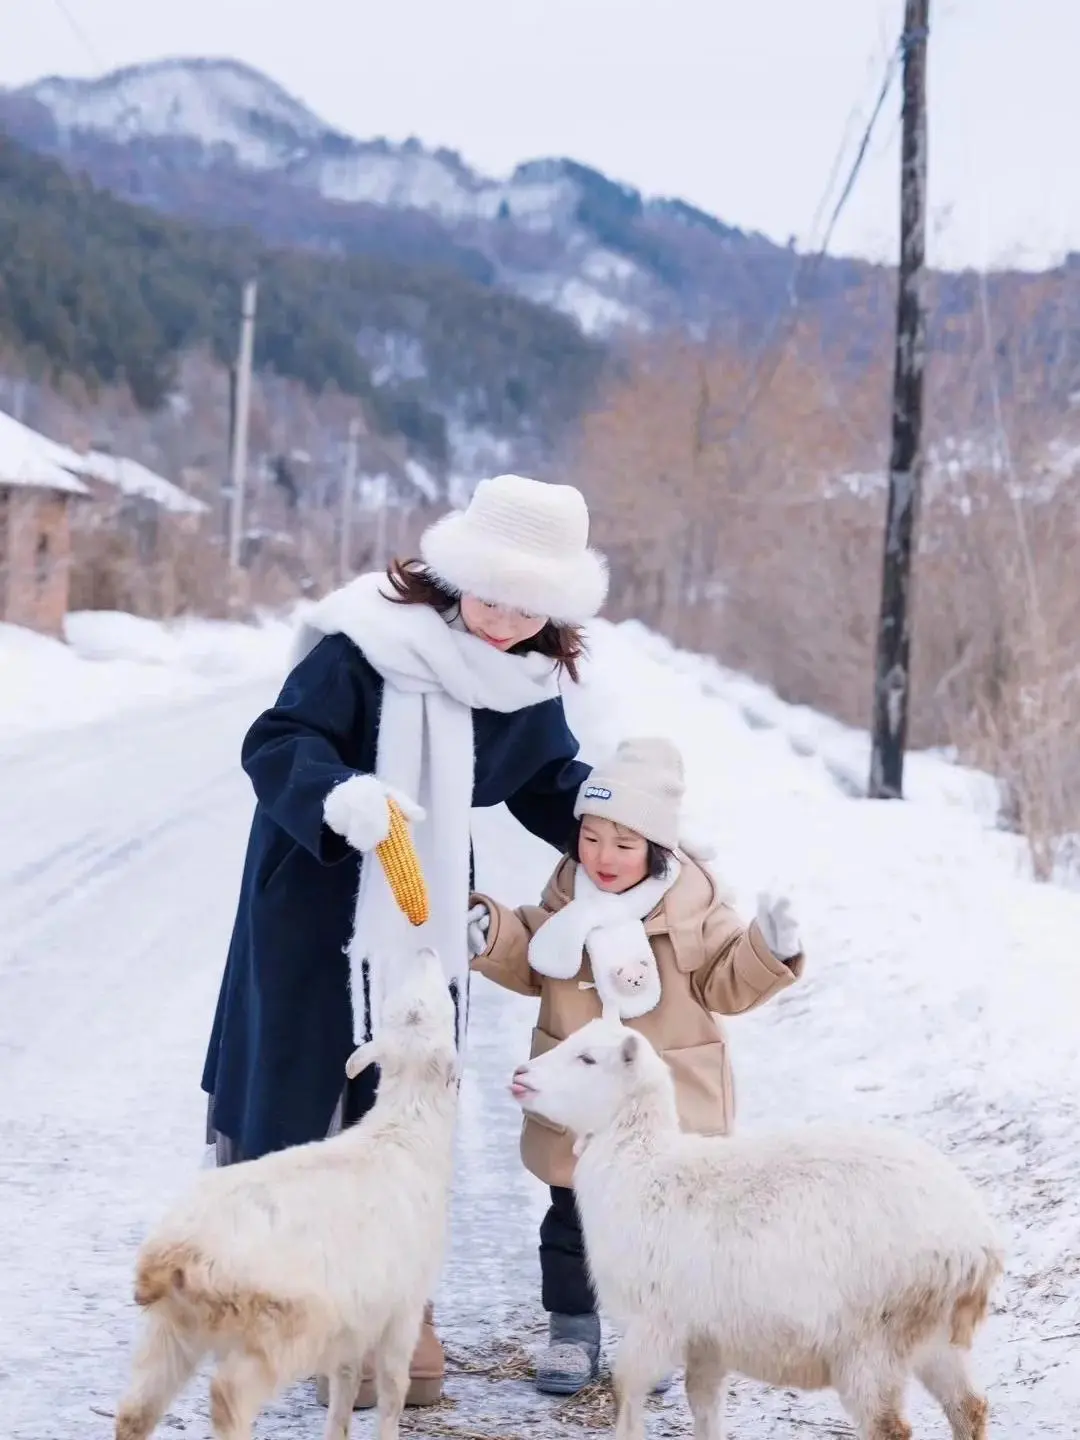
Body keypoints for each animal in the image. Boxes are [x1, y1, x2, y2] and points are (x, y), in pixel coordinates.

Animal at [115, 944, 460, 1440]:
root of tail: (173, 1255)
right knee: (227, 1395)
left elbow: (347, 1379)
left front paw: (338, 1430)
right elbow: (394, 1389)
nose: (426, 948)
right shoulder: (404, 1306)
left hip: (174, 1327)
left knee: (134, 1411)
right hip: (280, 1325)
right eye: (442, 1004)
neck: (406, 1125)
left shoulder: (356, 1316)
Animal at [512, 1013, 1008, 1440]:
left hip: (873, 1341)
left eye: (587, 1059)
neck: (640, 1164)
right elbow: (704, 1402)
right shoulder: (706, 1338)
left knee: (892, 1428)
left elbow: (625, 1388)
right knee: (970, 1406)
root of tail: (976, 1245)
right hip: (936, 1338)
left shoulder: (656, 1322)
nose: (520, 1075)